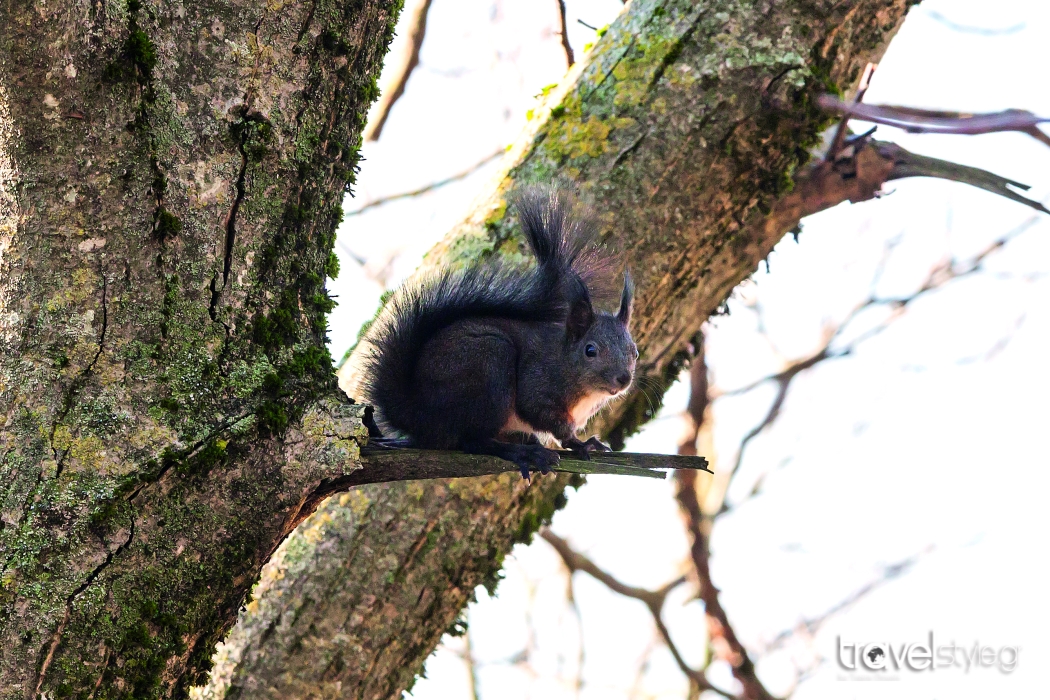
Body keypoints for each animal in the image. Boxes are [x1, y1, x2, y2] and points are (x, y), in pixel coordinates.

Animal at [361, 188, 638, 478]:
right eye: (590, 350)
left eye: (635, 352)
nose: (623, 379)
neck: (567, 363)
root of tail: (417, 416)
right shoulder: (537, 381)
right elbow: (542, 415)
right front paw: (579, 443)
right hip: (488, 368)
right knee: (472, 441)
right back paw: (523, 452)